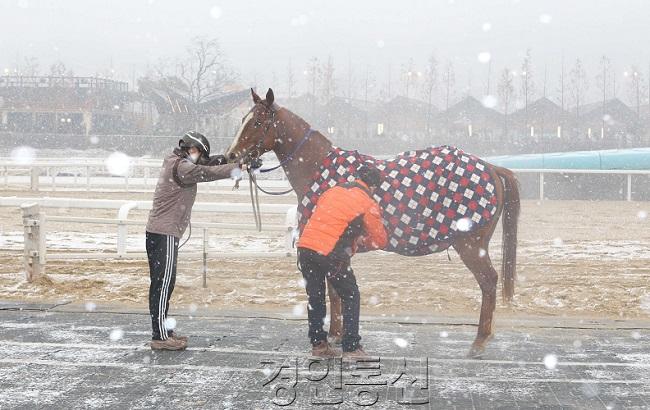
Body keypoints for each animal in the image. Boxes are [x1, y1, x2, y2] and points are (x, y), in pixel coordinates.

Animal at [225, 88, 520, 358]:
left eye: (257, 122)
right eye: (243, 119)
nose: (231, 156)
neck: (319, 169)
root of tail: (490, 167)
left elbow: (334, 292)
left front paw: (335, 335)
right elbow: (334, 291)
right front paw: (336, 334)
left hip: (471, 245)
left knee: (488, 282)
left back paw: (479, 341)